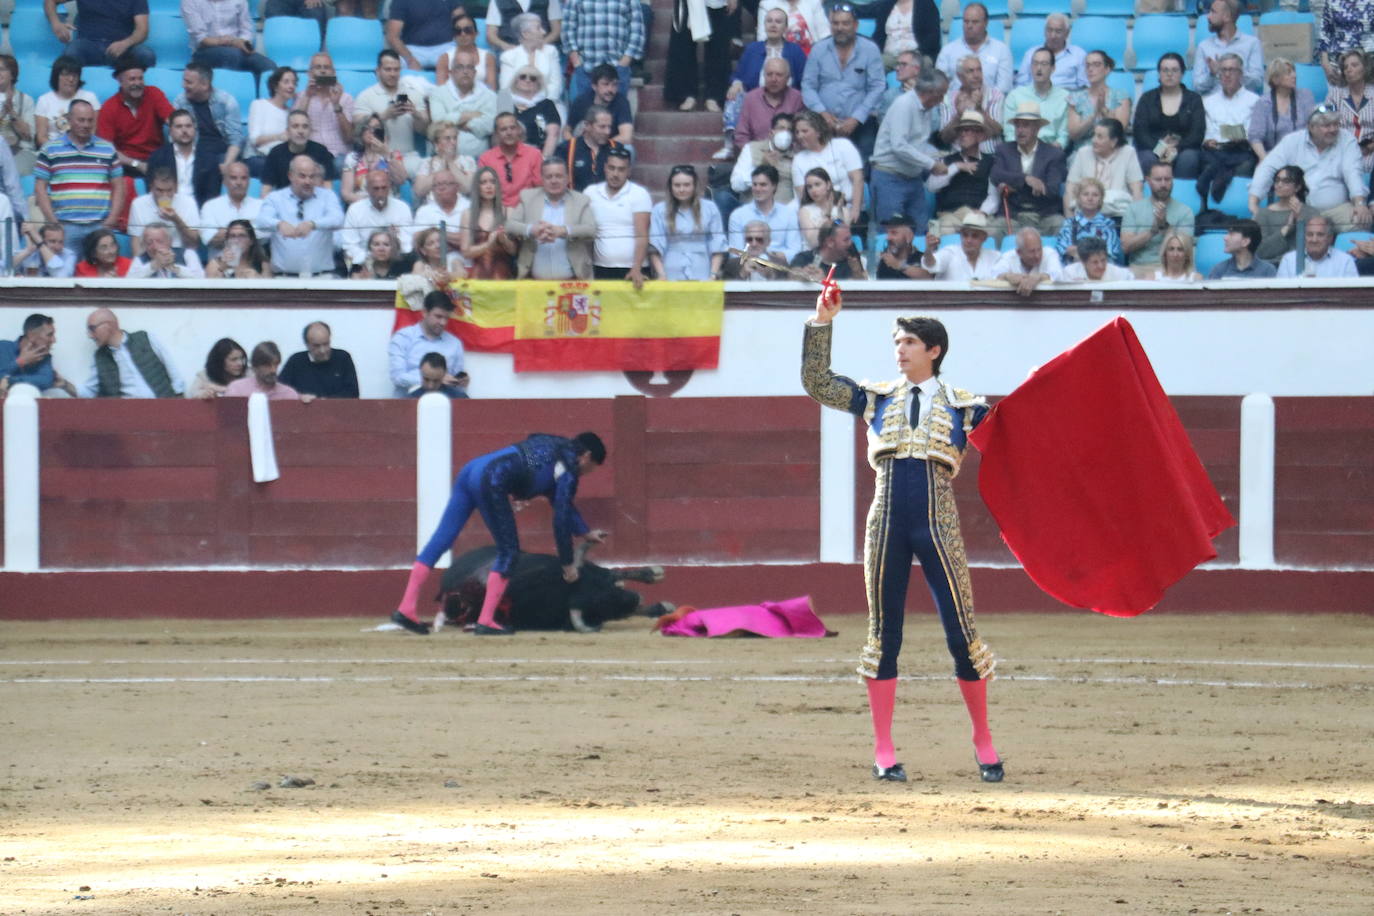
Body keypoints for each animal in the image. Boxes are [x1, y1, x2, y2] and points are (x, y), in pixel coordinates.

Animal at [436, 543, 673, 631]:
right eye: (601, 602)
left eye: (604, 587)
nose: (636, 597)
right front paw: (659, 606)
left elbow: (613, 573)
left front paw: (653, 575)